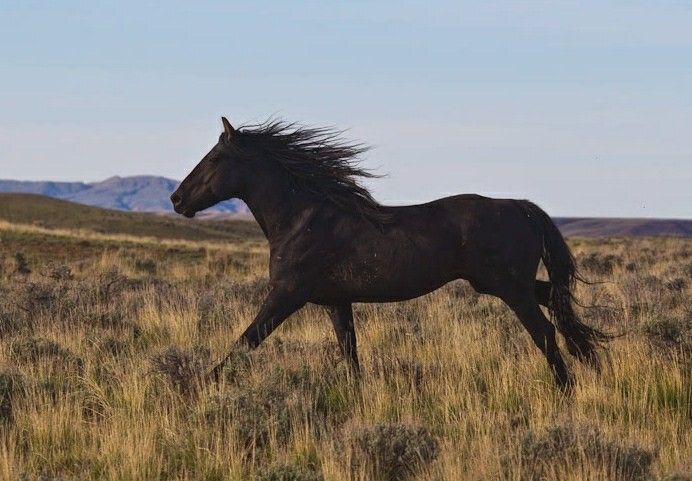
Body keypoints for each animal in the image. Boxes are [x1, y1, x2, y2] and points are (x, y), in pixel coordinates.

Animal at [170, 116, 608, 390]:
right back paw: (593, 365)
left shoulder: (286, 295)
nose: (176, 199)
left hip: (509, 288)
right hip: (502, 284)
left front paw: (197, 388)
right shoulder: (336, 302)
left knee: (545, 332)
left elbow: (245, 342)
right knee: (557, 302)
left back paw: (567, 391)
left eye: (215, 158)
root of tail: (520, 206)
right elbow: (350, 356)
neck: (301, 218)